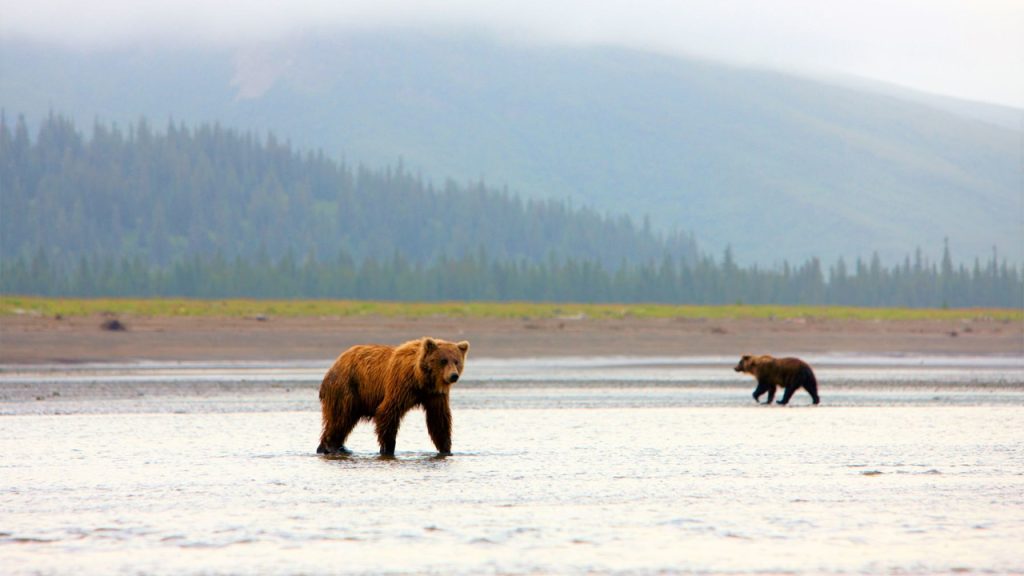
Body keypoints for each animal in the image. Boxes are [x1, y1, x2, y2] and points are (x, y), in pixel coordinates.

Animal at [315, 336, 471, 453]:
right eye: (443, 360)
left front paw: (446, 449)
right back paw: (331, 446)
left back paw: (332, 448)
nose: (453, 376)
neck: (420, 378)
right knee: (340, 417)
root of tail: (334, 365)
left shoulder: (434, 394)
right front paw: (387, 449)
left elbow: (439, 419)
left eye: (457, 361)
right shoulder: (401, 385)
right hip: (347, 387)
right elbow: (388, 412)